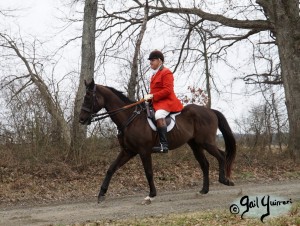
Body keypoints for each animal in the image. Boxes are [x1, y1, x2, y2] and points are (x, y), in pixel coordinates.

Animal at [79, 79, 237, 203]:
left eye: (88, 97)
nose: (81, 119)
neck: (130, 118)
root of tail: (210, 111)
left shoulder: (144, 151)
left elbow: (148, 172)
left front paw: (151, 195)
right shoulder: (128, 151)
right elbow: (111, 169)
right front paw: (101, 194)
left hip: (206, 142)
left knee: (221, 155)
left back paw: (225, 180)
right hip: (195, 145)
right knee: (205, 164)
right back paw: (204, 190)